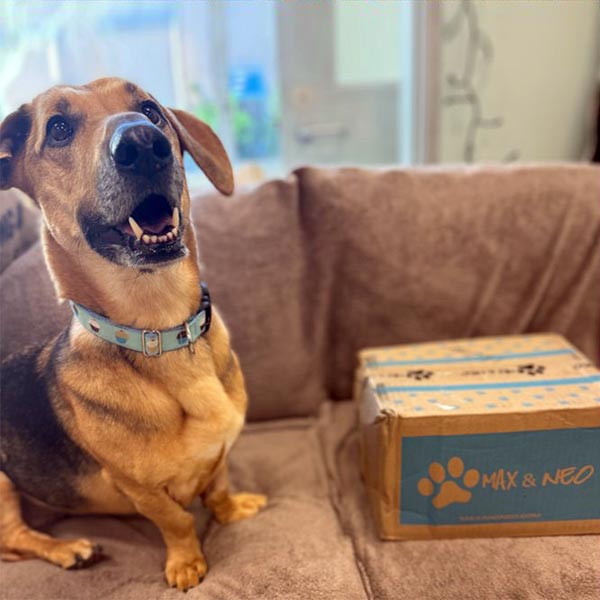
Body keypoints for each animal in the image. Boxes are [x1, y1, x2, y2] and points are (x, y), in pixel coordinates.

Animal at [0, 76, 268, 592]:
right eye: (58, 128)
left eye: (150, 110)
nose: (144, 143)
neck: (162, 330)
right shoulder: (137, 488)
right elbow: (176, 520)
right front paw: (186, 563)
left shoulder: (221, 453)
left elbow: (218, 487)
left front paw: (231, 510)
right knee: (14, 540)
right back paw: (70, 549)